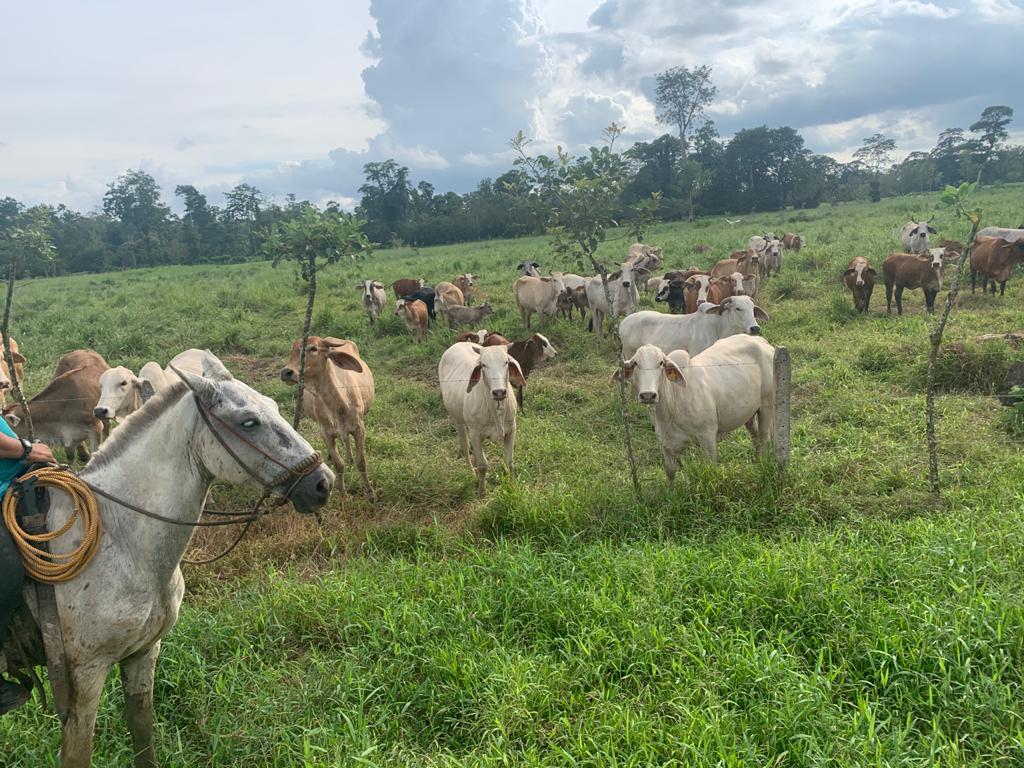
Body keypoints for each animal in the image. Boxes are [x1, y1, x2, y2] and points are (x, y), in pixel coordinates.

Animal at [2, 354, 333, 768]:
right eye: (249, 422)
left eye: (273, 407)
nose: (323, 483)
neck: (120, 536)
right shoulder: (85, 674)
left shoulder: (143, 654)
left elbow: (142, 733)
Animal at [280, 335, 376, 499]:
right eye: (293, 349)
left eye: (313, 348)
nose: (286, 372)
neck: (338, 404)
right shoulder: (325, 433)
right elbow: (339, 464)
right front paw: (343, 494)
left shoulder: (359, 428)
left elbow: (361, 462)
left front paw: (370, 494)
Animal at [438, 342, 524, 499]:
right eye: (483, 365)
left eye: (506, 362)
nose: (499, 392)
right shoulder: (476, 434)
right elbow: (483, 465)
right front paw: (482, 492)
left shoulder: (511, 430)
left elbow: (509, 462)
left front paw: (512, 486)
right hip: (457, 419)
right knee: (465, 447)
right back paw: (472, 473)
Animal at [614, 296, 770, 364]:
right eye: (738, 308)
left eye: (752, 308)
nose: (755, 328)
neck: (719, 327)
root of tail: (623, 322)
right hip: (628, 354)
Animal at [614, 339, 774, 479]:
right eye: (635, 363)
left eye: (661, 363)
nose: (648, 395)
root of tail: (762, 342)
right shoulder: (665, 442)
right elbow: (670, 471)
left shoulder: (708, 436)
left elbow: (711, 468)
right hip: (748, 413)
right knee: (755, 436)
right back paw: (757, 460)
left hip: (767, 404)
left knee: (764, 437)